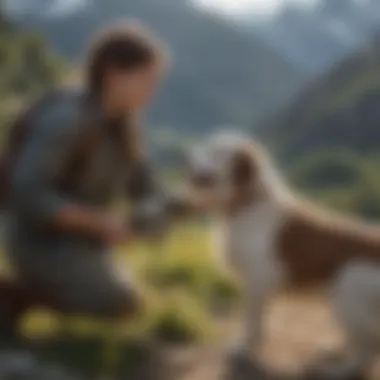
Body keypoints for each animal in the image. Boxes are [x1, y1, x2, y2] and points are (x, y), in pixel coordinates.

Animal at [188, 132, 380, 378]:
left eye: (217, 152)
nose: (189, 162)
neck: (248, 203)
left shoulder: (257, 285)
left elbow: (252, 324)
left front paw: (244, 350)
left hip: (348, 302)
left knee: (368, 348)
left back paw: (340, 370)